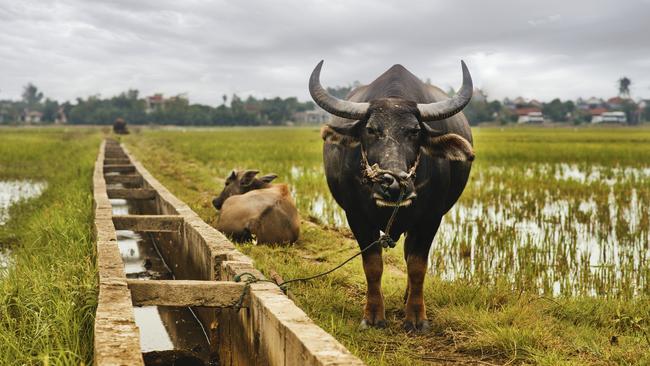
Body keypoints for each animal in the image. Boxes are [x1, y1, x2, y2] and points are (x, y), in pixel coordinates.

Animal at [306, 60, 474, 332]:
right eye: (371, 129)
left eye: (414, 131)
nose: (394, 185)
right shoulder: (356, 217)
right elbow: (373, 265)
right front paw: (374, 316)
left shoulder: (431, 218)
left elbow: (417, 266)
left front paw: (416, 317)